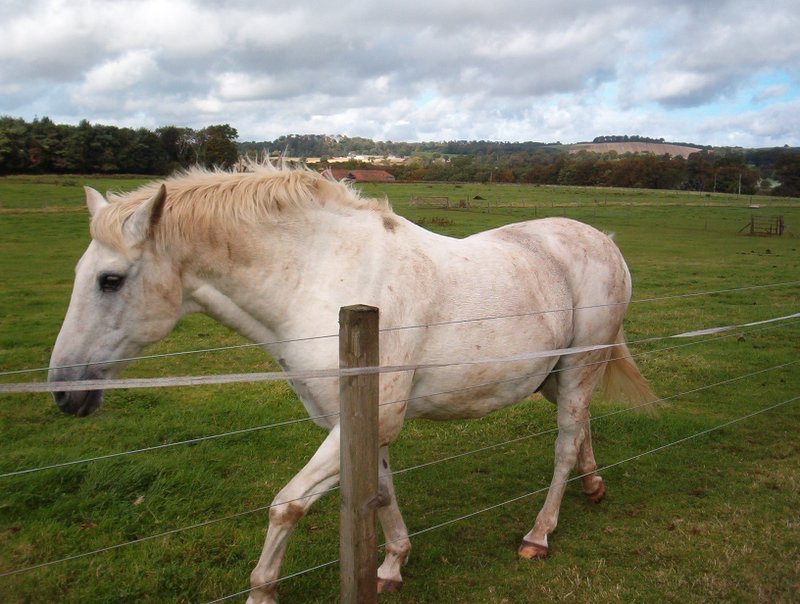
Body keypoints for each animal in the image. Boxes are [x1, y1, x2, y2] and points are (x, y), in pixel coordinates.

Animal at [48, 163, 648, 600]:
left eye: (109, 280)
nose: (63, 391)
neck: (320, 278)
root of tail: (605, 241)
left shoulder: (365, 421)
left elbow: (287, 505)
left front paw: (262, 591)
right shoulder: (358, 423)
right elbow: (379, 495)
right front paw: (391, 567)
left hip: (579, 369)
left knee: (564, 445)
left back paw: (538, 535)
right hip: (553, 376)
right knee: (582, 428)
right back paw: (593, 486)